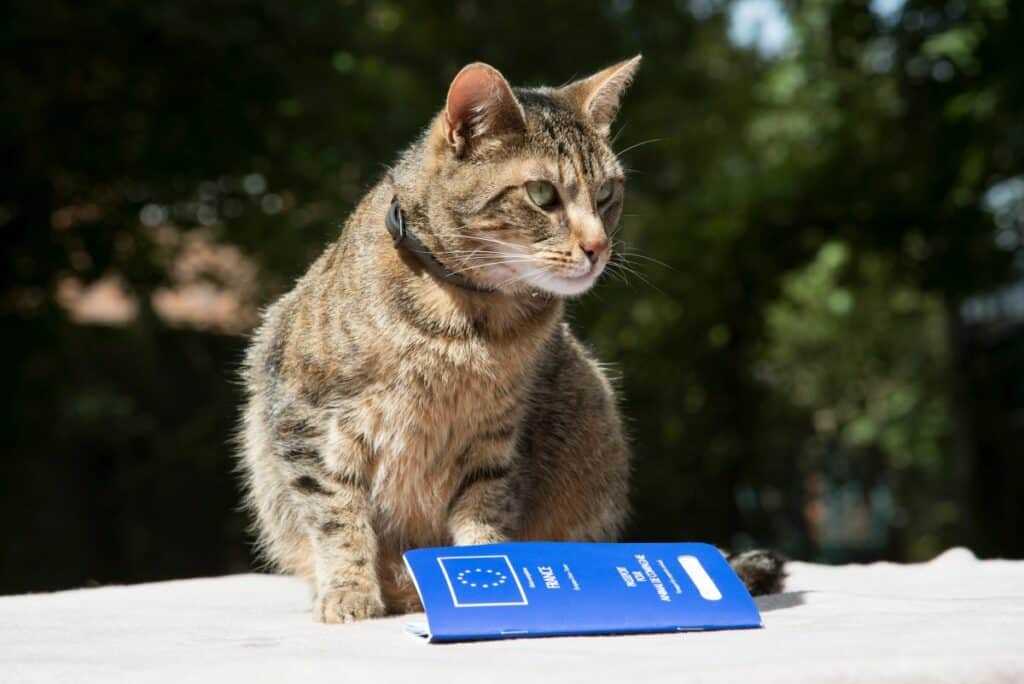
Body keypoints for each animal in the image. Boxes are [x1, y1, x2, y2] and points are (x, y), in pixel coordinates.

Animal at [239, 57, 782, 626]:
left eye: (606, 195)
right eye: (542, 195)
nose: (599, 247)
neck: (469, 321)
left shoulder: (497, 437)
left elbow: (484, 513)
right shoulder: (304, 420)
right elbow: (337, 518)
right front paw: (350, 592)